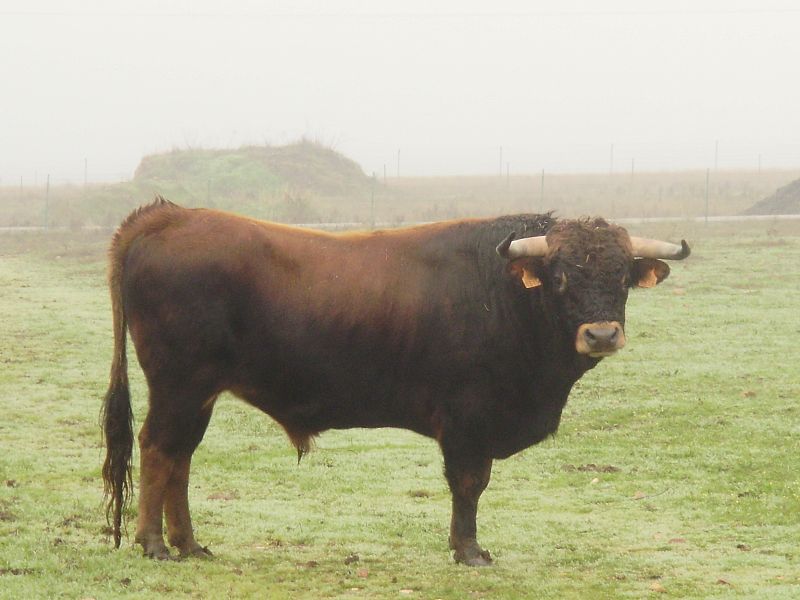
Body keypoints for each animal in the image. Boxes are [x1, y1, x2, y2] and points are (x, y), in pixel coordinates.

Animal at [100, 196, 688, 564]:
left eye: (622, 276)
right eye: (562, 276)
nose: (602, 334)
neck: (502, 293)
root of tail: (168, 217)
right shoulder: (467, 421)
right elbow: (469, 485)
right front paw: (469, 551)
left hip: (197, 394)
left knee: (180, 456)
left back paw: (189, 544)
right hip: (179, 386)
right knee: (158, 448)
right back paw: (154, 544)